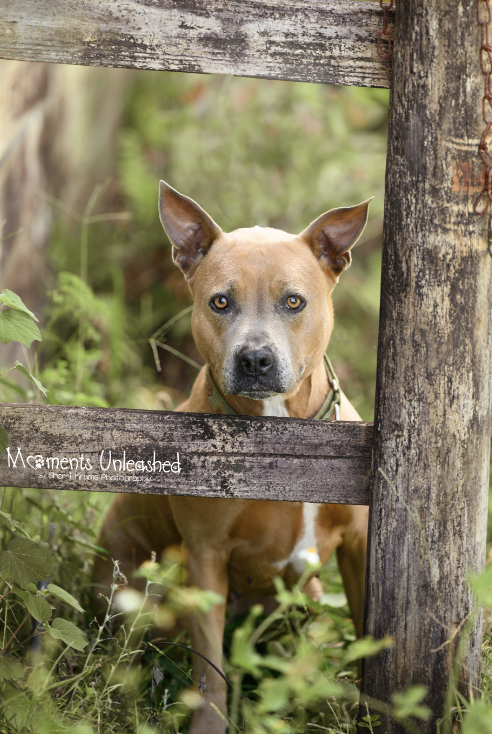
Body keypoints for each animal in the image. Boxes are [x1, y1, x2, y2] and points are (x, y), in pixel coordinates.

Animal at [92, 183, 370, 734]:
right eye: (220, 301)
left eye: (293, 300)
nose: (255, 359)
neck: (280, 434)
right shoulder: (205, 556)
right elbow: (209, 667)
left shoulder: (358, 546)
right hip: (140, 590)